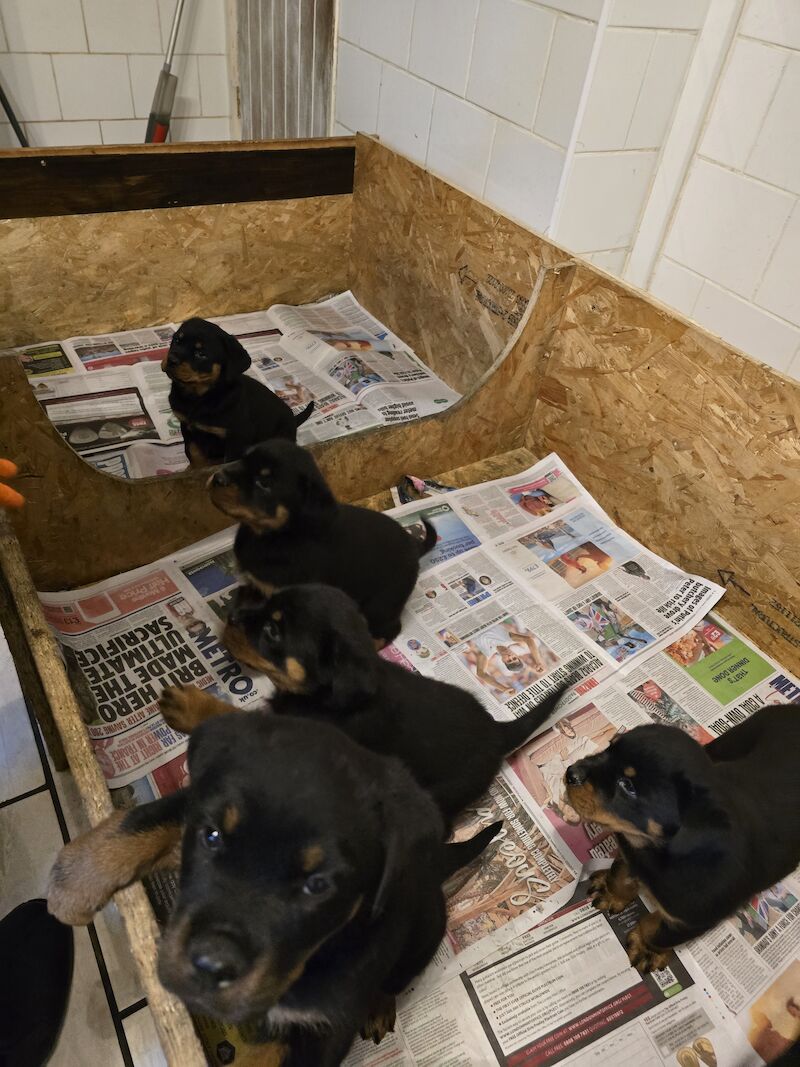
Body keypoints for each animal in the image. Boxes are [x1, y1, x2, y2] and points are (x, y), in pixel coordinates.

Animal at [46, 708, 499, 1067]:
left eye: (317, 885)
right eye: (211, 836)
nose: (211, 965)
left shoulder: (320, 1027)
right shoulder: (199, 801)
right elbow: (157, 814)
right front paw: (75, 878)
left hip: (425, 933)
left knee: (395, 977)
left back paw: (378, 1007)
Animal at [164, 315, 315, 467]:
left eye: (201, 354)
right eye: (176, 340)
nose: (171, 359)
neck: (198, 396)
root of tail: (294, 420)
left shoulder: (237, 437)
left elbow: (227, 462)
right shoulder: (187, 427)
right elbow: (193, 453)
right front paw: (195, 468)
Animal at [210, 439, 439, 644]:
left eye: (264, 484)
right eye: (243, 458)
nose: (217, 478)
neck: (275, 536)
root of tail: (415, 546)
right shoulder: (257, 584)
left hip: (381, 605)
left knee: (387, 631)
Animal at [563, 708, 800, 977]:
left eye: (628, 786)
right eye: (609, 746)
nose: (570, 773)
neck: (654, 849)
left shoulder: (692, 919)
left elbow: (659, 933)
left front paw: (646, 949)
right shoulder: (630, 853)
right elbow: (619, 875)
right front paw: (611, 892)